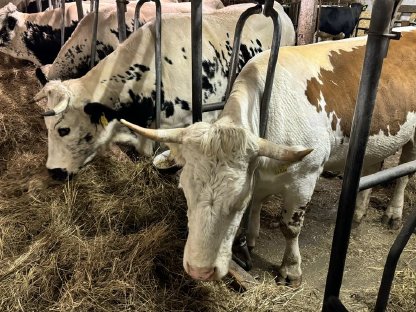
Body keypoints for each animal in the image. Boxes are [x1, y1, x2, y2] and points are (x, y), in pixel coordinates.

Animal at [122, 26, 416, 286]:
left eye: (237, 201)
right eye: (184, 191)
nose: (199, 271)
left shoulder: (305, 177)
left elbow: (290, 227)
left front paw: (290, 269)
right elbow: (259, 201)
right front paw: (250, 238)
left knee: (403, 174)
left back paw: (393, 213)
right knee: (371, 168)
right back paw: (358, 212)